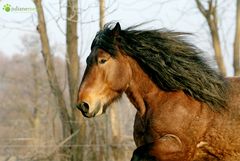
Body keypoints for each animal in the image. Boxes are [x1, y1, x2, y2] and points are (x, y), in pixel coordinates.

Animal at [76, 22, 240, 161]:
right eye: (87, 60)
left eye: (103, 60)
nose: (83, 104)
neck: (162, 100)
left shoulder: (179, 147)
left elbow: (137, 155)